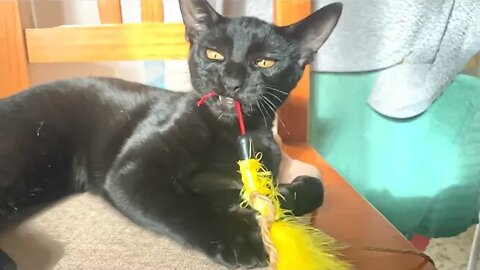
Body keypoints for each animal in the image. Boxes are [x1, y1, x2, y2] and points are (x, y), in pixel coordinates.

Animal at [0, 1, 342, 268]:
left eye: (265, 61)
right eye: (214, 54)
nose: (231, 81)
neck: (227, 132)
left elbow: (305, 189)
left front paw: (283, 193)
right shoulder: (132, 173)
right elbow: (180, 205)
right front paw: (238, 239)